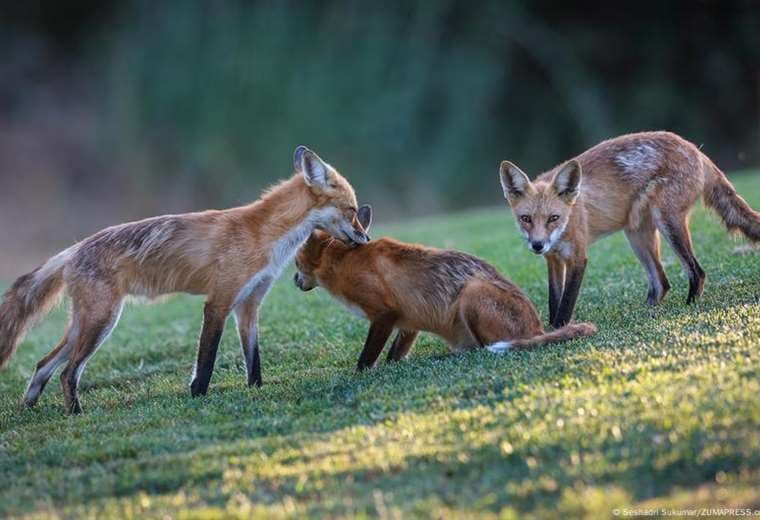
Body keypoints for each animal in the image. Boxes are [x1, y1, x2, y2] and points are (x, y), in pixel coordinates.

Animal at [0, 146, 368, 414]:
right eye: (351, 210)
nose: (365, 239)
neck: (264, 235)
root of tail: (73, 249)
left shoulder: (248, 305)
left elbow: (254, 359)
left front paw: (256, 389)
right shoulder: (219, 301)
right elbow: (206, 360)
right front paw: (198, 396)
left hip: (85, 325)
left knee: (43, 365)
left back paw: (29, 407)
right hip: (100, 323)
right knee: (67, 372)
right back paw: (76, 413)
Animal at [294, 205, 596, 368]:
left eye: (296, 262)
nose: (295, 281)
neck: (347, 262)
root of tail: (538, 329)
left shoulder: (384, 314)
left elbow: (366, 359)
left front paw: (362, 372)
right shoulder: (409, 321)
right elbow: (394, 356)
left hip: (472, 294)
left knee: (483, 348)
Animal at [498, 130, 760, 328]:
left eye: (554, 218)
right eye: (526, 219)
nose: (537, 245)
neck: (567, 221)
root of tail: (694, 148)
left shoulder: (577, 258)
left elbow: (565, 304)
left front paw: (558, 332)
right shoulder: (553, 260)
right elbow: (554, 301)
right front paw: (552, 329)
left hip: (668, 224)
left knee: (697, 272)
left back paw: (687, 307)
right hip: (637, 237)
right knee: (661, 283)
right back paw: (646, 312)